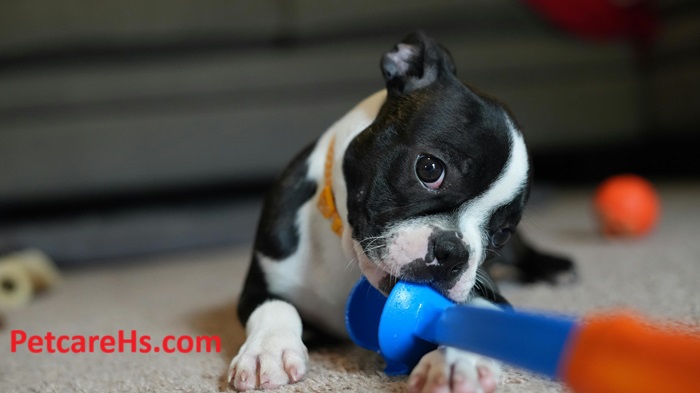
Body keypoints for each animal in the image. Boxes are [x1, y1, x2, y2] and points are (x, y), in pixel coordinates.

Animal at [230, 31, 576, 392]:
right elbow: (276, 306)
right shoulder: (259, 285)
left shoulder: (489, 294)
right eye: (429, 168)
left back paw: (554, 267)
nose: (454, 252)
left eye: (501, 233)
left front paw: (455, 363)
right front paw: (268, 350)